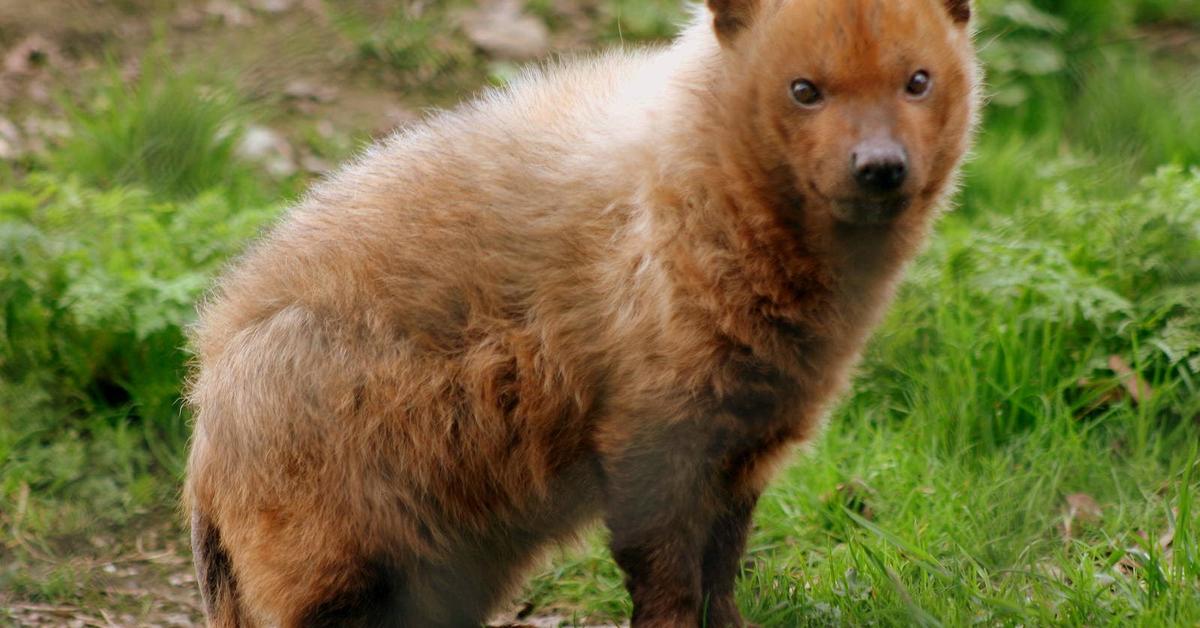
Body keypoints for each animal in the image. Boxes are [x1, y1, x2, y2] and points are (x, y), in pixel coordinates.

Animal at [184, 1, 974, 624]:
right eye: (804, 89)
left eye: (918, 80)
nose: (880, 167)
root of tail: (205, 423)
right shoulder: (650, 431)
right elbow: (669, 579)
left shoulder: (744, 442)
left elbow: (721, 573)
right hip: (342, 539)